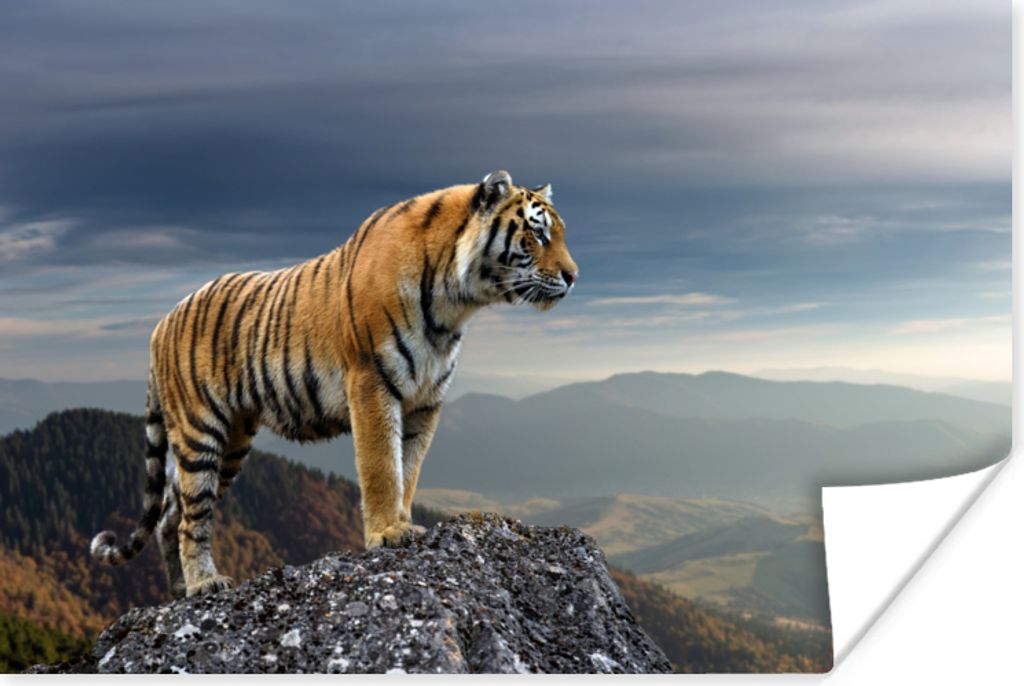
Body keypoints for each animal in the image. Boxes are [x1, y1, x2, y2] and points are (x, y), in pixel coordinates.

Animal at [90, 170, 579, 598]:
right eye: (537, 235)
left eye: (561, 234)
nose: (574, 277)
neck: (454, 305)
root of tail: (160, 323)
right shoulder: (372, 383)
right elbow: (382, 466)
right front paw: (388, 533)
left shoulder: (426, 401)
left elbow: (409, 468)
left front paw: (403, 522)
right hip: (200, 431)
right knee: (192, 517)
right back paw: (204, 584)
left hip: (232, 442)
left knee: (170, 516)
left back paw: (178, 592)